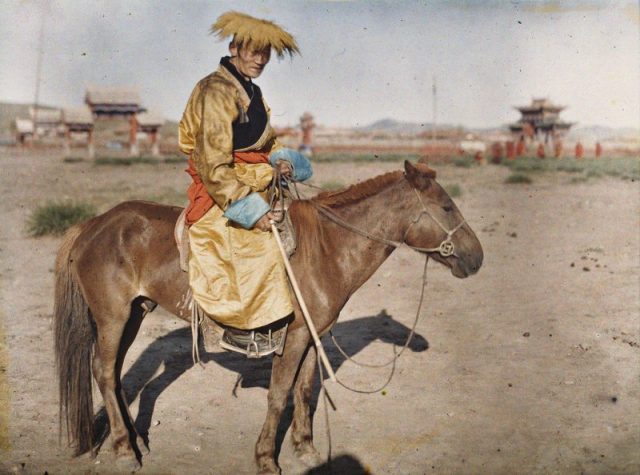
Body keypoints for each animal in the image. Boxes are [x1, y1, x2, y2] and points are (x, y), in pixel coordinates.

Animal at [53, 162, 480, 474]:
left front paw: (305, 449)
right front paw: (265, 458)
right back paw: (125, 451)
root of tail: (93, 224)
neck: (327, 248)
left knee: (115, 374)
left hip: (135, 314)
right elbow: (278, 395)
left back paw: (135, 441)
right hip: (112, 317)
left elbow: (304, 391)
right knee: (104, 371)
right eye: (446, 207)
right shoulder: (293, 338)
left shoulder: (311, 337)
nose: (477, 258)